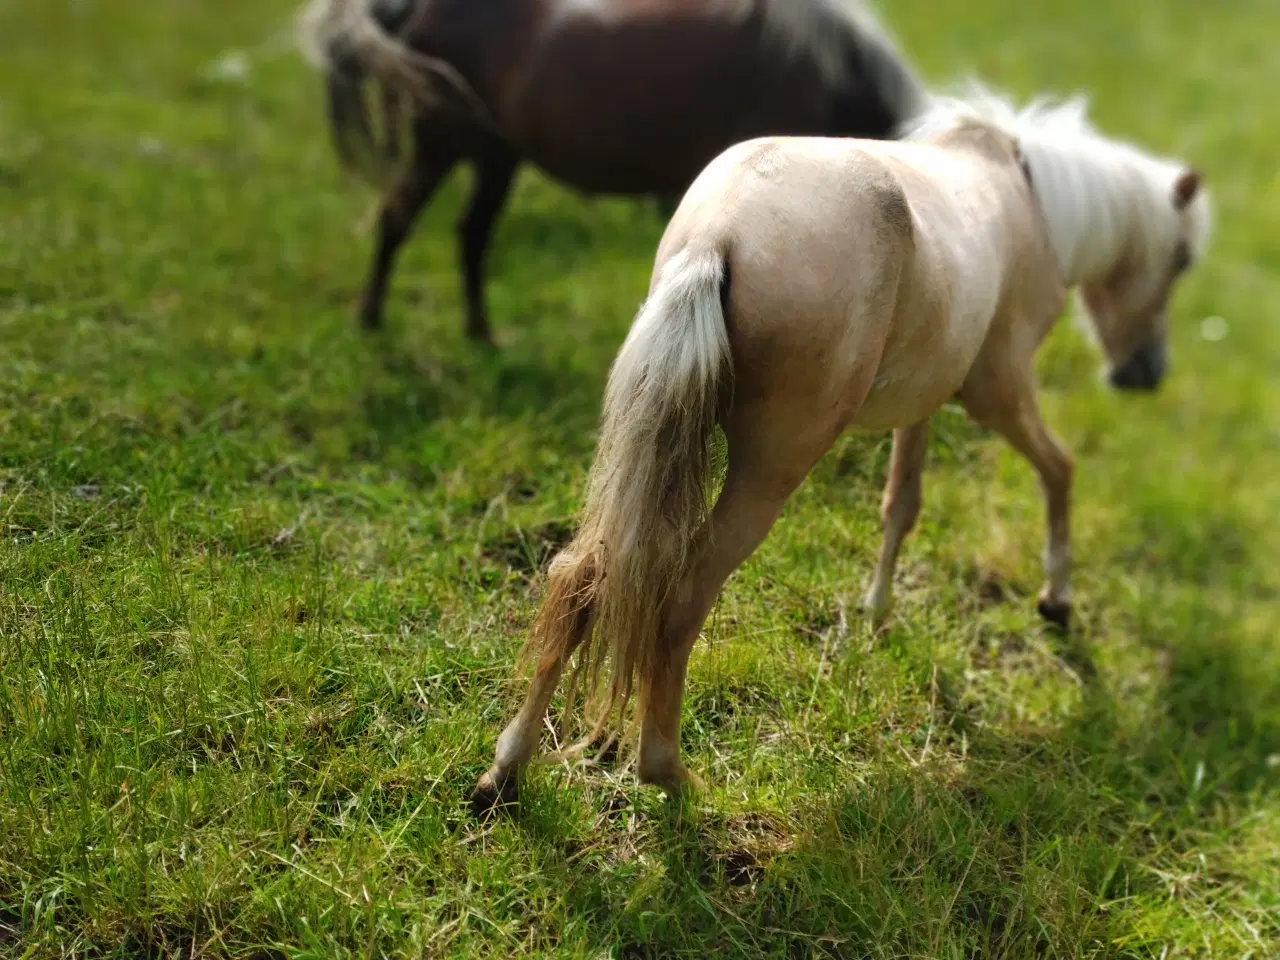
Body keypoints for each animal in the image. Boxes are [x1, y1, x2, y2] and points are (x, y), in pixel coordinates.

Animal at [295, 0, 926, 343]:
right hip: (440, 145)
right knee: (397, 218)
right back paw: (371, 322)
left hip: (495, 157)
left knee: (471, 234)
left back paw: (482, 335)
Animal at [471, 92, 1208, 814]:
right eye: (1179, 260)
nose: (1146, 373)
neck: (1030, 197)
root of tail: (718, 238)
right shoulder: (996, 392)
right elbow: (1060, 469)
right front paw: (1057, 599)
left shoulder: (924, 402)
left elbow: (901, 503)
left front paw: (876, 615)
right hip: (771, 470)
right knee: (682, 599)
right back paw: (671, 776)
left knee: (581, 575)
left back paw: (505, 773)